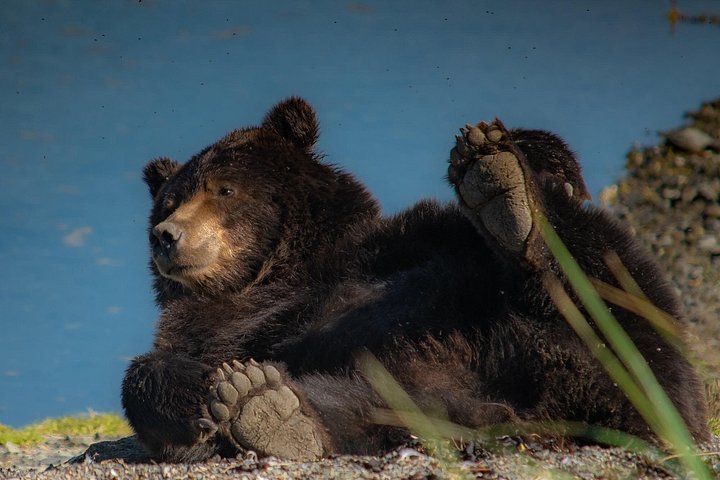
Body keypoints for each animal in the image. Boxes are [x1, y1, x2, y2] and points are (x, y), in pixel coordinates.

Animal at [121, 97, 709, 462]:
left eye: (224, 189)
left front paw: (500, 161)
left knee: (610, 294)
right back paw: (266, 408)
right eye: (168, 202)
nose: (167, 236)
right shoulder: (219, 328)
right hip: (407, 395)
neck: (277, 274)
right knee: (354, 409)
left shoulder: (405, 244)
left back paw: (507, 200)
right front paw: (211, 388)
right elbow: (152, 373)